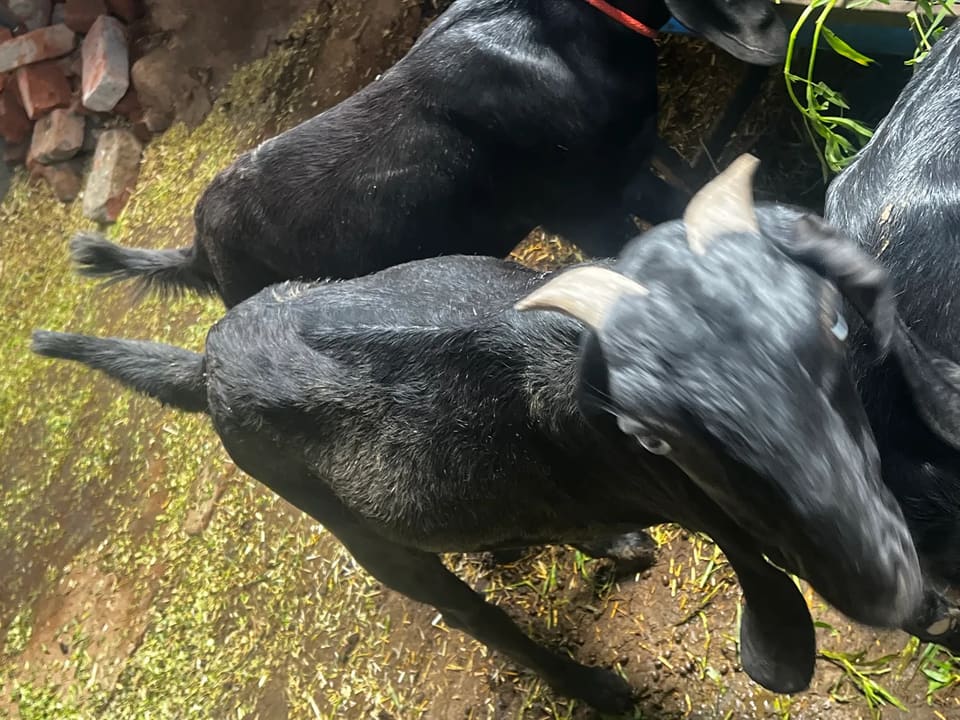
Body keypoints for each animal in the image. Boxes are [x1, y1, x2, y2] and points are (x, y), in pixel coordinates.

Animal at [34, 157, 924, 711]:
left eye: (830, 328)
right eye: (664, 437)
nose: (892, 587)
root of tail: (207, 360)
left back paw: (610, 543)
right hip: (361, 535)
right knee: (474, 616)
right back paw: (595, 688)